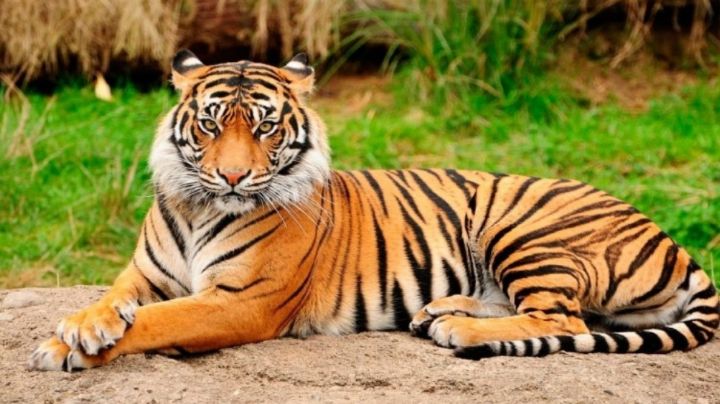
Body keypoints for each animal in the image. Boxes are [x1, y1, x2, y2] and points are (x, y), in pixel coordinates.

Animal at [29, 50, 719, 371]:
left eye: (265, 128)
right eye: (210, 124)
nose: (233, 175)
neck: (201, 207)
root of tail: (672, 239)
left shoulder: (241, 300)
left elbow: (157, 322)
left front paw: (68, 347)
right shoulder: (144, 274)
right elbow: (113, 301)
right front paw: (80, 327)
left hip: (522, 226)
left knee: (563, 318)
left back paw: (457, 329)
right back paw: (441, 310)